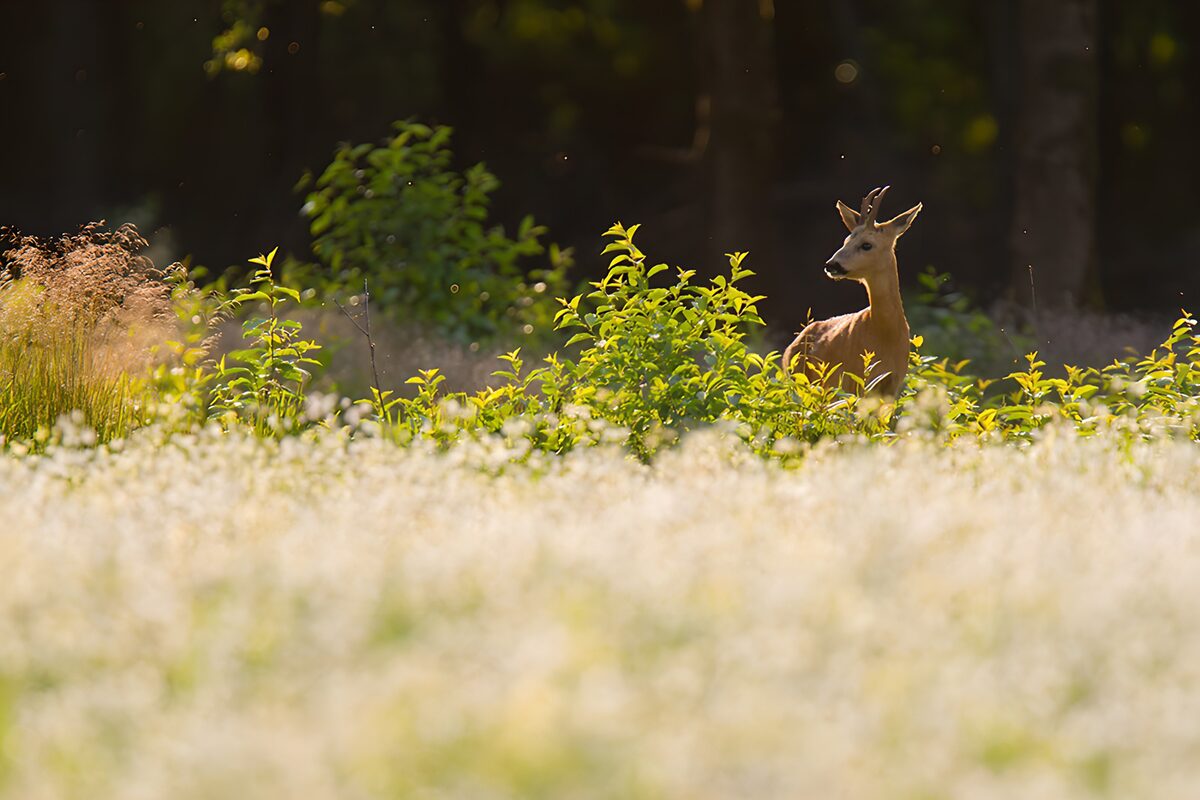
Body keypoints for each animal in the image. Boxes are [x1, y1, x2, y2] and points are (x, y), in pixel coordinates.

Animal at [783, 186, 922, 398]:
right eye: (846, 240)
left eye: (867, 244)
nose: (831, 265)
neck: (884, 335)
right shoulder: (854, 379)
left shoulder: (892, 384)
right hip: (802, 382)